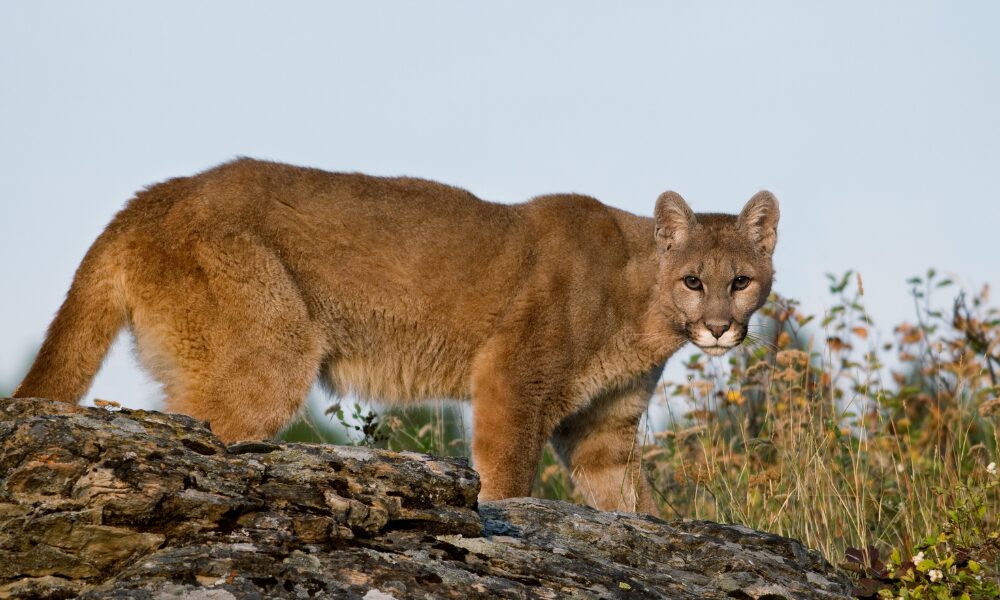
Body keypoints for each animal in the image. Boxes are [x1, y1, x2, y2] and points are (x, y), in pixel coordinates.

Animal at [15, 158, 780, 510]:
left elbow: (639, 508)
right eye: (693, 281)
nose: (719, 327)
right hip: (271, 355)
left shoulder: (604, 433)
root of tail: (149, 197)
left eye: (741, 281)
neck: (641, 302)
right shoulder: (511, 380)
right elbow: (507, 479)